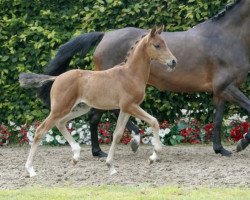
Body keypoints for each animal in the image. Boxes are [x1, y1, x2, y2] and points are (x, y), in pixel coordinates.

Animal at [19, 27, 177, 177]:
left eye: (165, 43)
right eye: (157, 45)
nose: (173, 62)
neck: (130, 74)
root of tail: (57, 77)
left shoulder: (126, 109)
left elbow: (117, 134)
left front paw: (111, 166)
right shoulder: (130, 106)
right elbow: (154, 121)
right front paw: (153, 157)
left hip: (80, 108)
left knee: (61, 123)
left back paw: (76, 155)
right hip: (60, 108)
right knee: (41, 130)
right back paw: (30, 170)